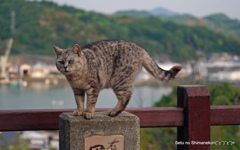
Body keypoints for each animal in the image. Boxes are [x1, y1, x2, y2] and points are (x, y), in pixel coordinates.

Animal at [53, 39, 181, 119]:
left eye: (70, 61)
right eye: (61, 62)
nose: (65, 67)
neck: (77, 78)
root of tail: (139, 47)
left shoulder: (93, 88)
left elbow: (90, 102)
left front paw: (88, 113)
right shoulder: (77, 90)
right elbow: (79, 102)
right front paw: (79, 111)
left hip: (120, 81)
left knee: (126, 97)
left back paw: (114, 112)